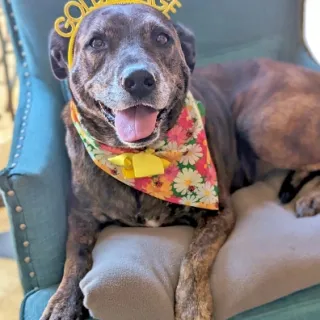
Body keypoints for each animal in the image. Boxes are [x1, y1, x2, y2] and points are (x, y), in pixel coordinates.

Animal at [42, 3, 320, 320]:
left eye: (162, 38)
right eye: (97, 43)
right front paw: (62, 302)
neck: (141, 158)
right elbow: (74, 257)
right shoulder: (80, 216)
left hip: (258, 124)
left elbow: (193, 259)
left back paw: (311, 196)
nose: (139, 80)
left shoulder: (219, 213)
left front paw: (192, 307)